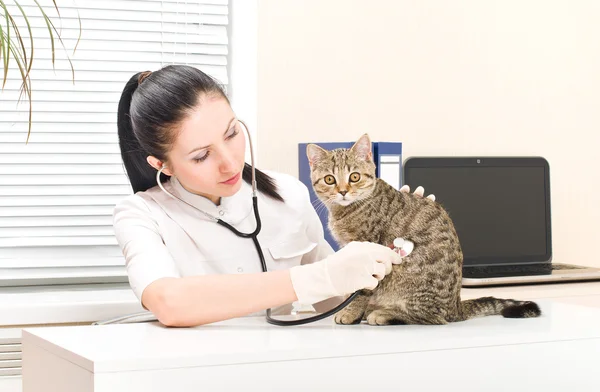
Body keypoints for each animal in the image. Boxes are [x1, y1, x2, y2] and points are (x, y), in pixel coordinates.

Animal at [308, 135, 540, 324]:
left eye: (354, 177)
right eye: (330, 179)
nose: (343, 191)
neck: (346, 210)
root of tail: (456, 305)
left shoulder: (369, 252)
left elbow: (362, 289)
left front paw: (351, 311)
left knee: (432, 317)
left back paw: (385, 313)